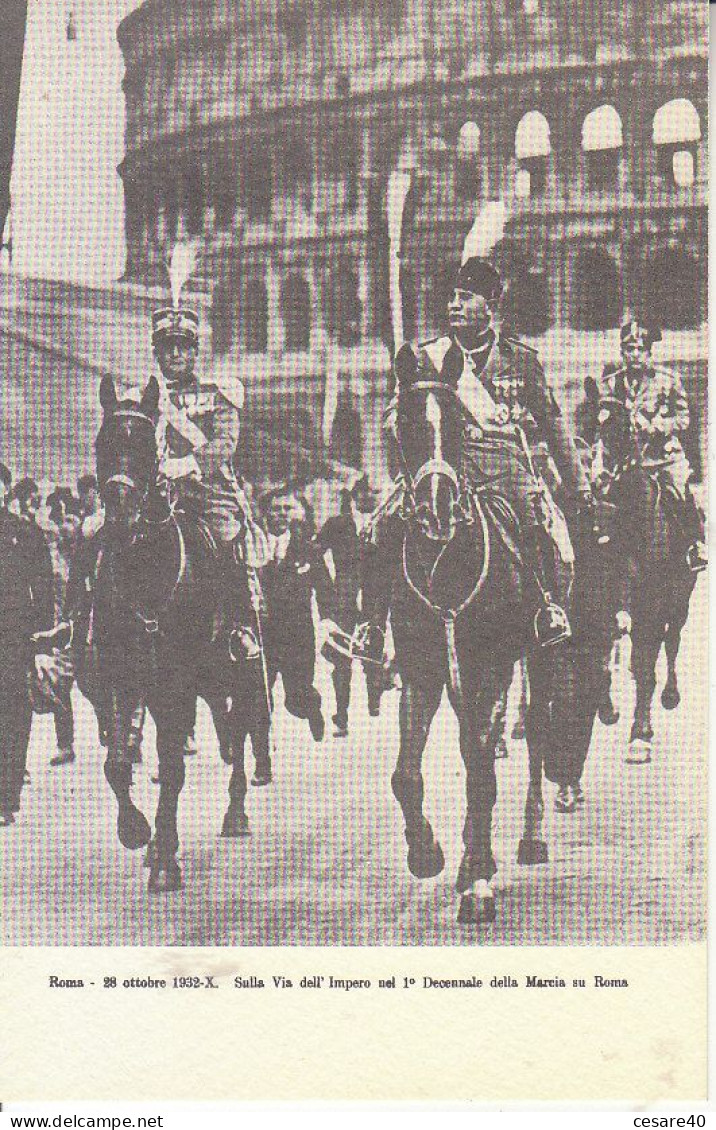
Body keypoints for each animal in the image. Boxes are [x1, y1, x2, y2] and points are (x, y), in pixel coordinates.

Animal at [84, 379, 256, 890]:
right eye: (102, 444)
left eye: (146, 446)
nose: (120, 511)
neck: (146, 569)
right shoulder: (121, 677)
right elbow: (118, 761)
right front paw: (135, 831)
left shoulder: (174, 684)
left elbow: (173, 767)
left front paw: (164, 858)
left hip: (233, 672)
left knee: (239, 729)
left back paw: (236, 813)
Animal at [383, 381, 557, 926]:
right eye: (406, 423)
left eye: (459, 424)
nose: (436, 510)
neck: (446, 565)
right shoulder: (421, 672)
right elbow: (405, 774)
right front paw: (427, 853)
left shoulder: (492, 669)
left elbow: (481, 775)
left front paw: (478, 881)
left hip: (537, 655)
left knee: (535, 732)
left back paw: (531, 838)